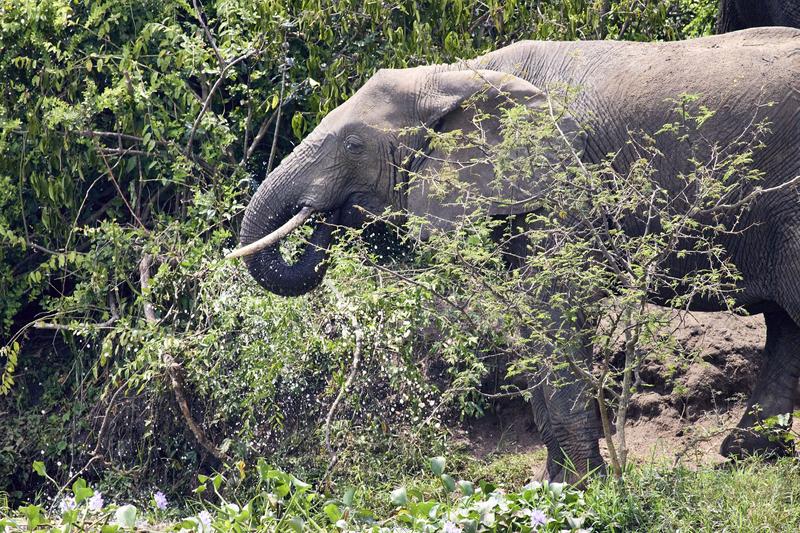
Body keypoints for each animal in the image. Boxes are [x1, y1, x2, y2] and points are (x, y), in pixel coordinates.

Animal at [231, 27, 800, 480]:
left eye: (353, 146)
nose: (325, 217)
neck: (458, 74)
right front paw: (553, 484)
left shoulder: (564, 177)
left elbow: (556, 303)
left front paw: (578, 488)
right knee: (785, 329)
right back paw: (744, 453)